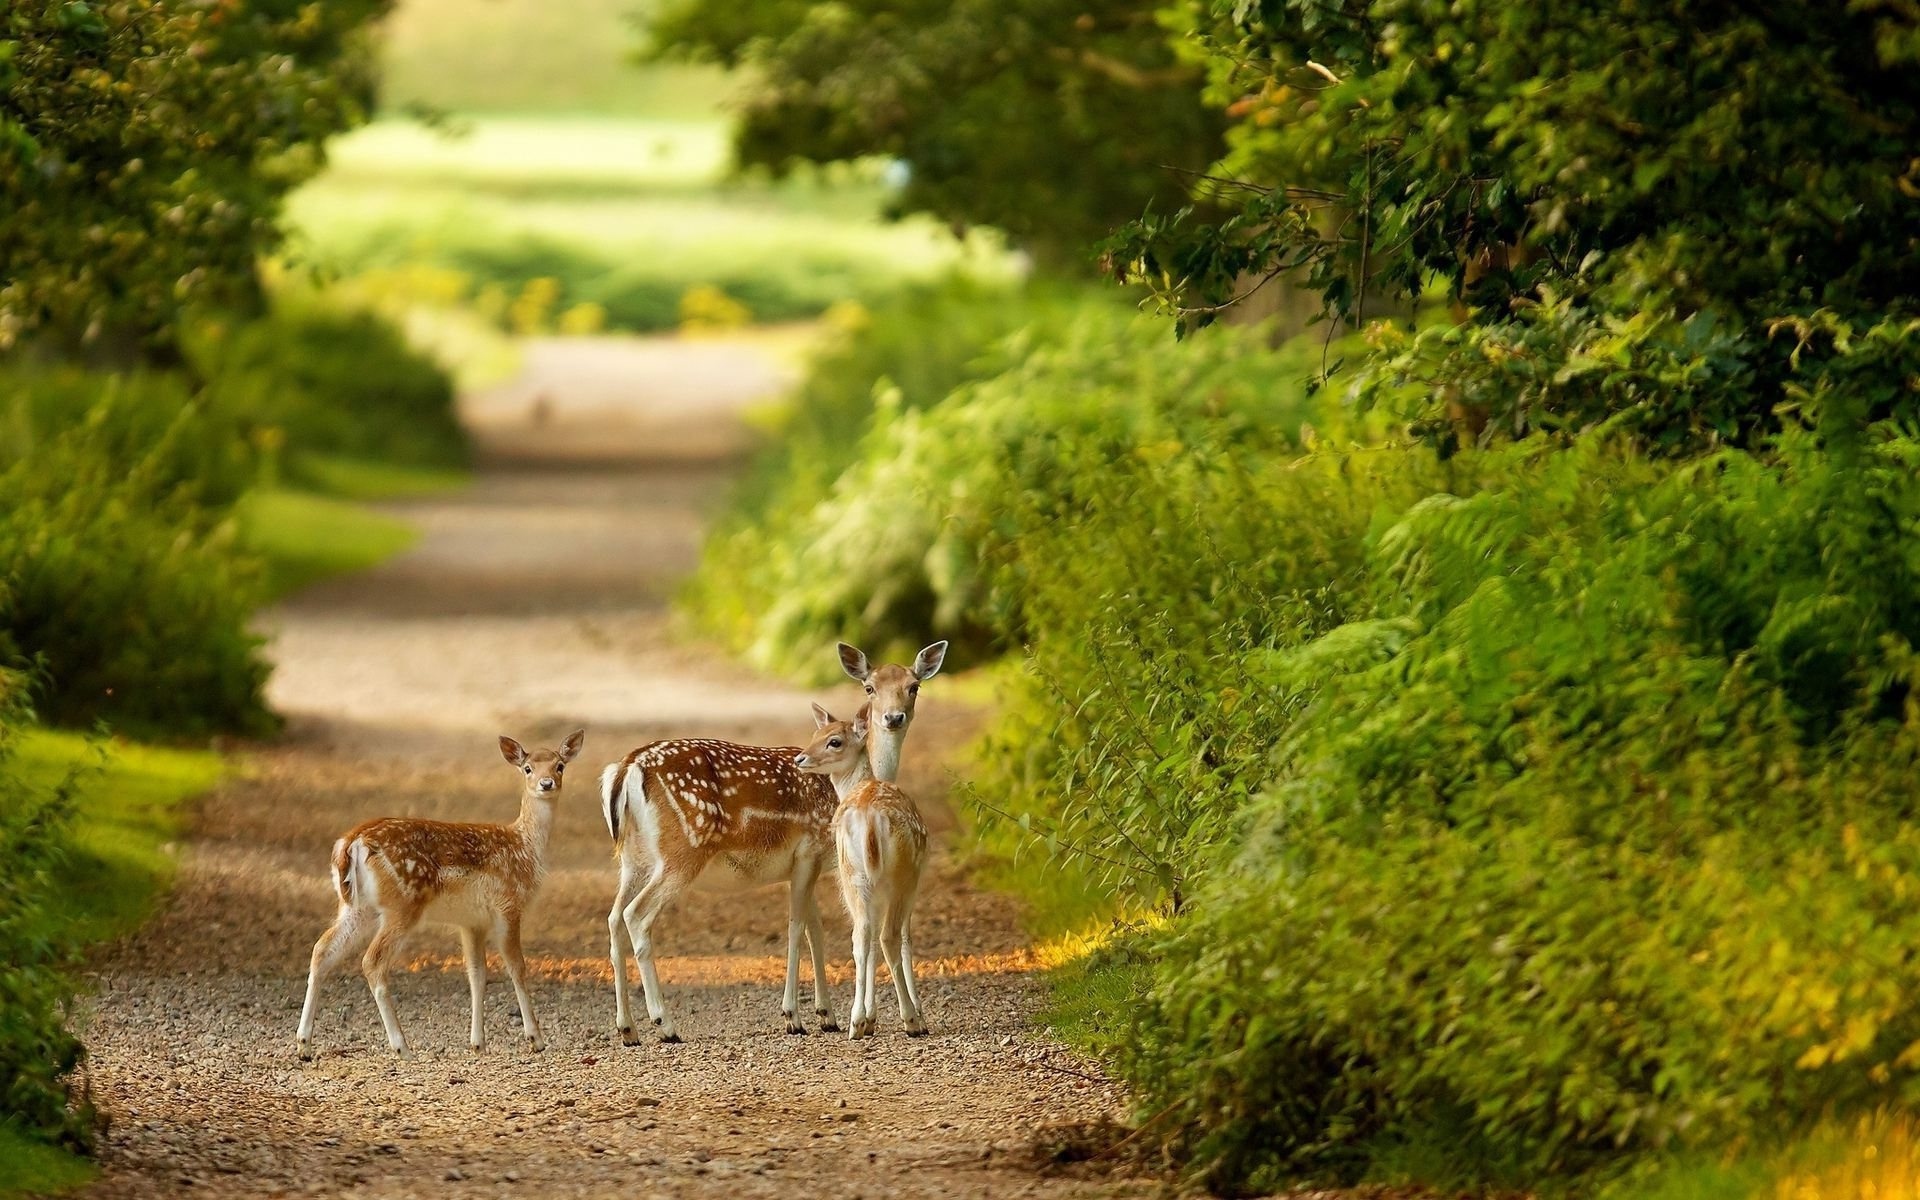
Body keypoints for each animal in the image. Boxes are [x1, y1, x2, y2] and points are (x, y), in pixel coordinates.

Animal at [291, 725, 583, 1052]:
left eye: (560, 765)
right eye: (527, 768)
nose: (546, 783)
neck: (525, 847)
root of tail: (350, 843)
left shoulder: (472, 922)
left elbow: (477, 974)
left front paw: (477, 1044)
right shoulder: (508, 905)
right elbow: (517, 967)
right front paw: (536, 1039)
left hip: (356, 907)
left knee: (322, 949)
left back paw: (304, 1044)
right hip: (403, 903)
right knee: (372, 961)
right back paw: (402, 1047)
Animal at [794, 702, 929, 1036]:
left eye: (833, 741)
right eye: (815, 734)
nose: (800, 758)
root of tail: (869, 819)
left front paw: (869, 1018)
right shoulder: (911, 880)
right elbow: (905, 939)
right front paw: (913, 1015)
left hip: (852, 874)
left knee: (861, 936)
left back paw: (856, 1022)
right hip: (901, 875)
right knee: (888, 936)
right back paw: (910, 1020)